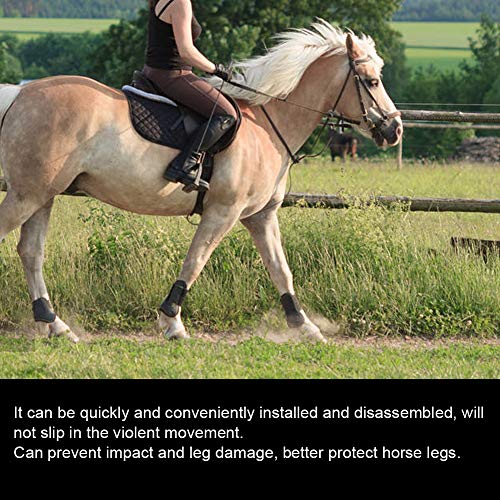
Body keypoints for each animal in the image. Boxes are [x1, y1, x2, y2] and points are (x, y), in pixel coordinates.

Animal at [0, 21, 400, 346]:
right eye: (372, 81)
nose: (394, 129)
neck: (267, 126)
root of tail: (20, 94)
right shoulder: (223, 212)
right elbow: (195, 262)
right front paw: (172, 323)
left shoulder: (261, 216)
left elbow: (280, 271)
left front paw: (305, 327)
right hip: (27, 195)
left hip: (42, 196)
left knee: (31, 252)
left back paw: (55, 325)